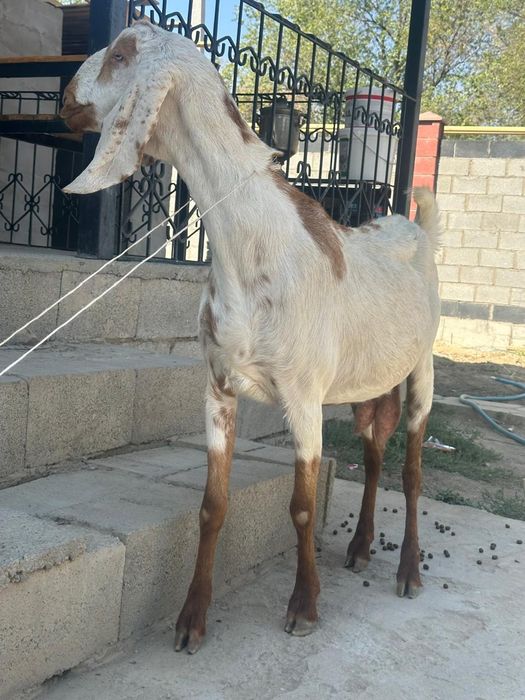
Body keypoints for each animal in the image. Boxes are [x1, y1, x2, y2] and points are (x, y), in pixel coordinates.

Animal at [61, 21, 441, 654]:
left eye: (121, 55)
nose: (64, 98)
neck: (254, 244)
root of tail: (418, 229)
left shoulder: (304, 397)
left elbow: (304, 508)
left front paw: (304, 606)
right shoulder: (218, 385)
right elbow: (212, 505)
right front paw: (191, 619)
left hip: (423, 368)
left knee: (411, 472)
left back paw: (409, 571)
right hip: (369, 381)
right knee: (373, 452)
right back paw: (361, 547)